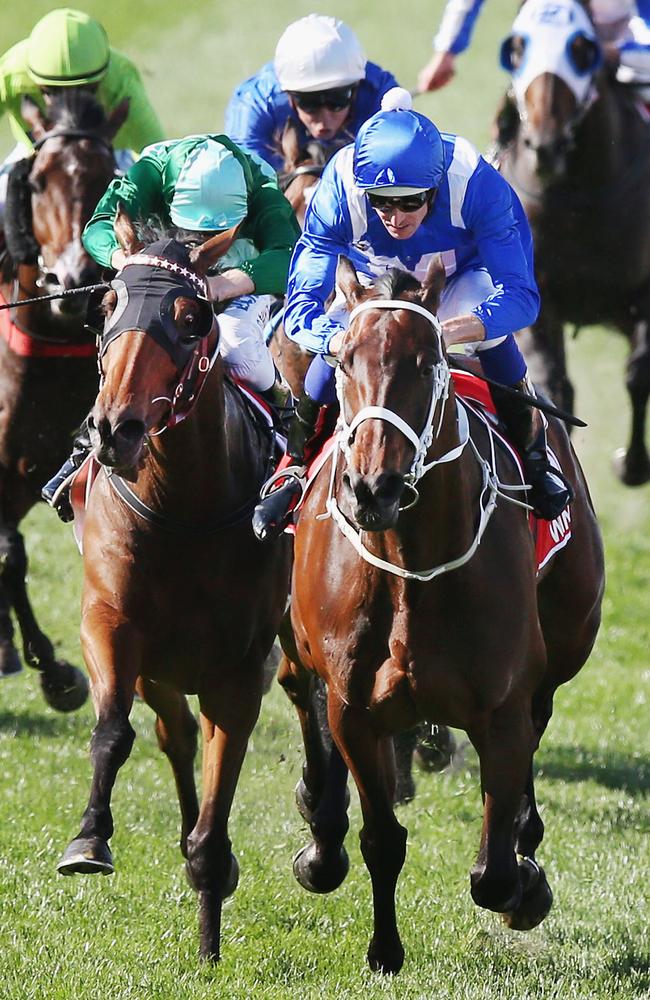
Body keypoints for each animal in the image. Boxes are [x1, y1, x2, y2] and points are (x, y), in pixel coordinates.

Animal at [57, 215, 292, 964]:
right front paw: (90, 838)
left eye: (192, 319)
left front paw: (211, 894)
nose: (115, 429)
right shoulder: (111, 623)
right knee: (176, 734)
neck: (182, 509)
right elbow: (113, 731)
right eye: (108, 305)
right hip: (160, 669)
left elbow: (224, 779)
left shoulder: (241, 668)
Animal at [278, 256, 604, 968]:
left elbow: (495, 873)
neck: (412, 569)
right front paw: (383, 948)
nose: (372, 488)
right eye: (342, 359)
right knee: (298, 691)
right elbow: (381, 837)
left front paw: (524, 885)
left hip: (562, 648)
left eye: (425, 363)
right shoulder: (355, 710)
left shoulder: (504, 710)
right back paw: (321, 835)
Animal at [494, 0, 648, 484]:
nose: (544, 145)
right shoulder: (537, 300)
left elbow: (637, 375)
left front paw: (631, 465)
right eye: (517, 47)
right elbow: (555, 386)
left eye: (582, 49)